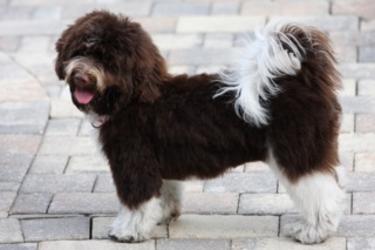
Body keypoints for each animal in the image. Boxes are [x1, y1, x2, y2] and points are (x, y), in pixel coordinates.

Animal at [55, 10, 346, 243]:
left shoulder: (134, 162)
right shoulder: (158, 163)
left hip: (298, 154)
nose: (81, 76)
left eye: (108, 60)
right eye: (80, 52)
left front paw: (128, 231)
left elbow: (136, 201)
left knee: (319, 194)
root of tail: (303, 79)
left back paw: (314, 232)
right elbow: (166, 192)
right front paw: (162, 215)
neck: (133, 97)